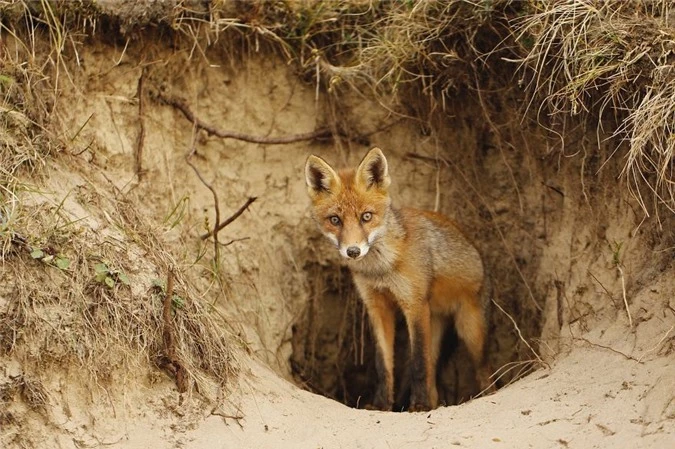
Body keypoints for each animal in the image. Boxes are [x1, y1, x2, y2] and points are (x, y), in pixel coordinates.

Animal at [304, 146, 492, 410]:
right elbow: (383, 365)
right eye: (335, 220)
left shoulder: (414, 304)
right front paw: (381, 405)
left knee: (484, 371)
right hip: (436, 324)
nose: (353, 251)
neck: (381, 269)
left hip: (471, 331)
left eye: (366, 216)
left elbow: (418, 364)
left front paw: (419, 405)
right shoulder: (377, 307)